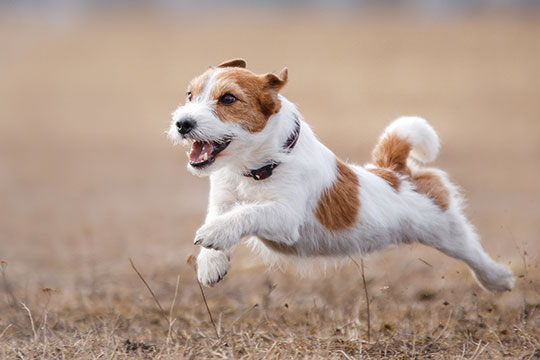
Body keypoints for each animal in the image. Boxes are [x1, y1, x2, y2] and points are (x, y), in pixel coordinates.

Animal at [168, 57, 516, 292]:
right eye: (190, 95)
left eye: (228, 98)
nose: (182, 123)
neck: (254, 168)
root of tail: (394, 171)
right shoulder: (222, 199)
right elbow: (223, 214)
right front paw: (211, 263)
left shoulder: (285, 218)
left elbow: (247, 213)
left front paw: (215, 234)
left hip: (446, 232)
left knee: (474, 254)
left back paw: (499, 279)